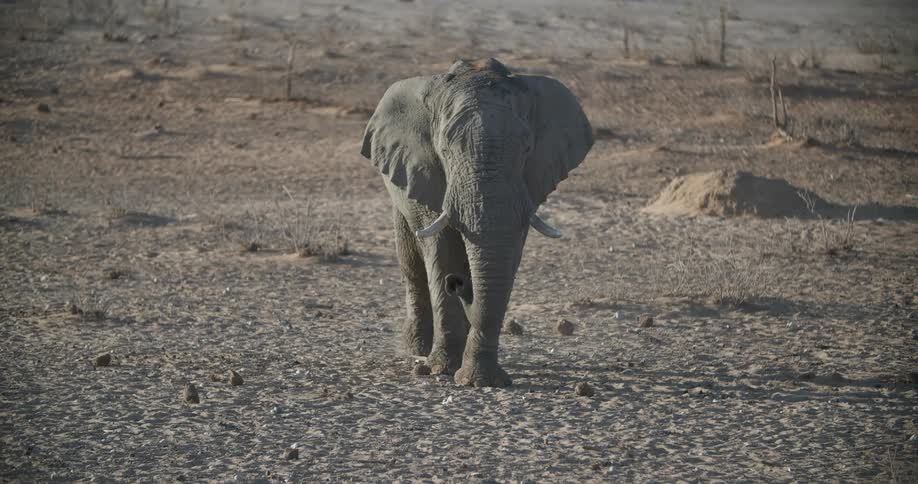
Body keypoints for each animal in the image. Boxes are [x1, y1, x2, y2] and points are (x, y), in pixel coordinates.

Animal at [360, 58, 593, 387]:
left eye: (526, 149)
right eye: (445, 150)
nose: (457, 284)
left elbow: (507, 255)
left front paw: (481, 380)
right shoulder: (429, 173)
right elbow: (441, 249)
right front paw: (442, 369)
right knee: (412, 262)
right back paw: (416, 350)